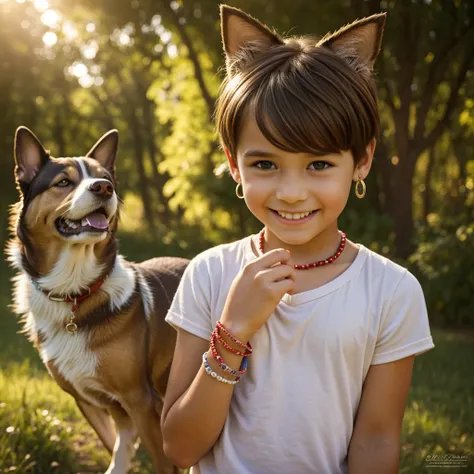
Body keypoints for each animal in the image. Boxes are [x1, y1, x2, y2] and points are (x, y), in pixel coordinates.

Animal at [6, 126, 189, 474]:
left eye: (105, 178)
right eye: (63, 182)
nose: (104, 188)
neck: (75, 291)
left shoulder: (141, 401)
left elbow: (162, 460)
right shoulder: (89, 401)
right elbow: (117, 447)